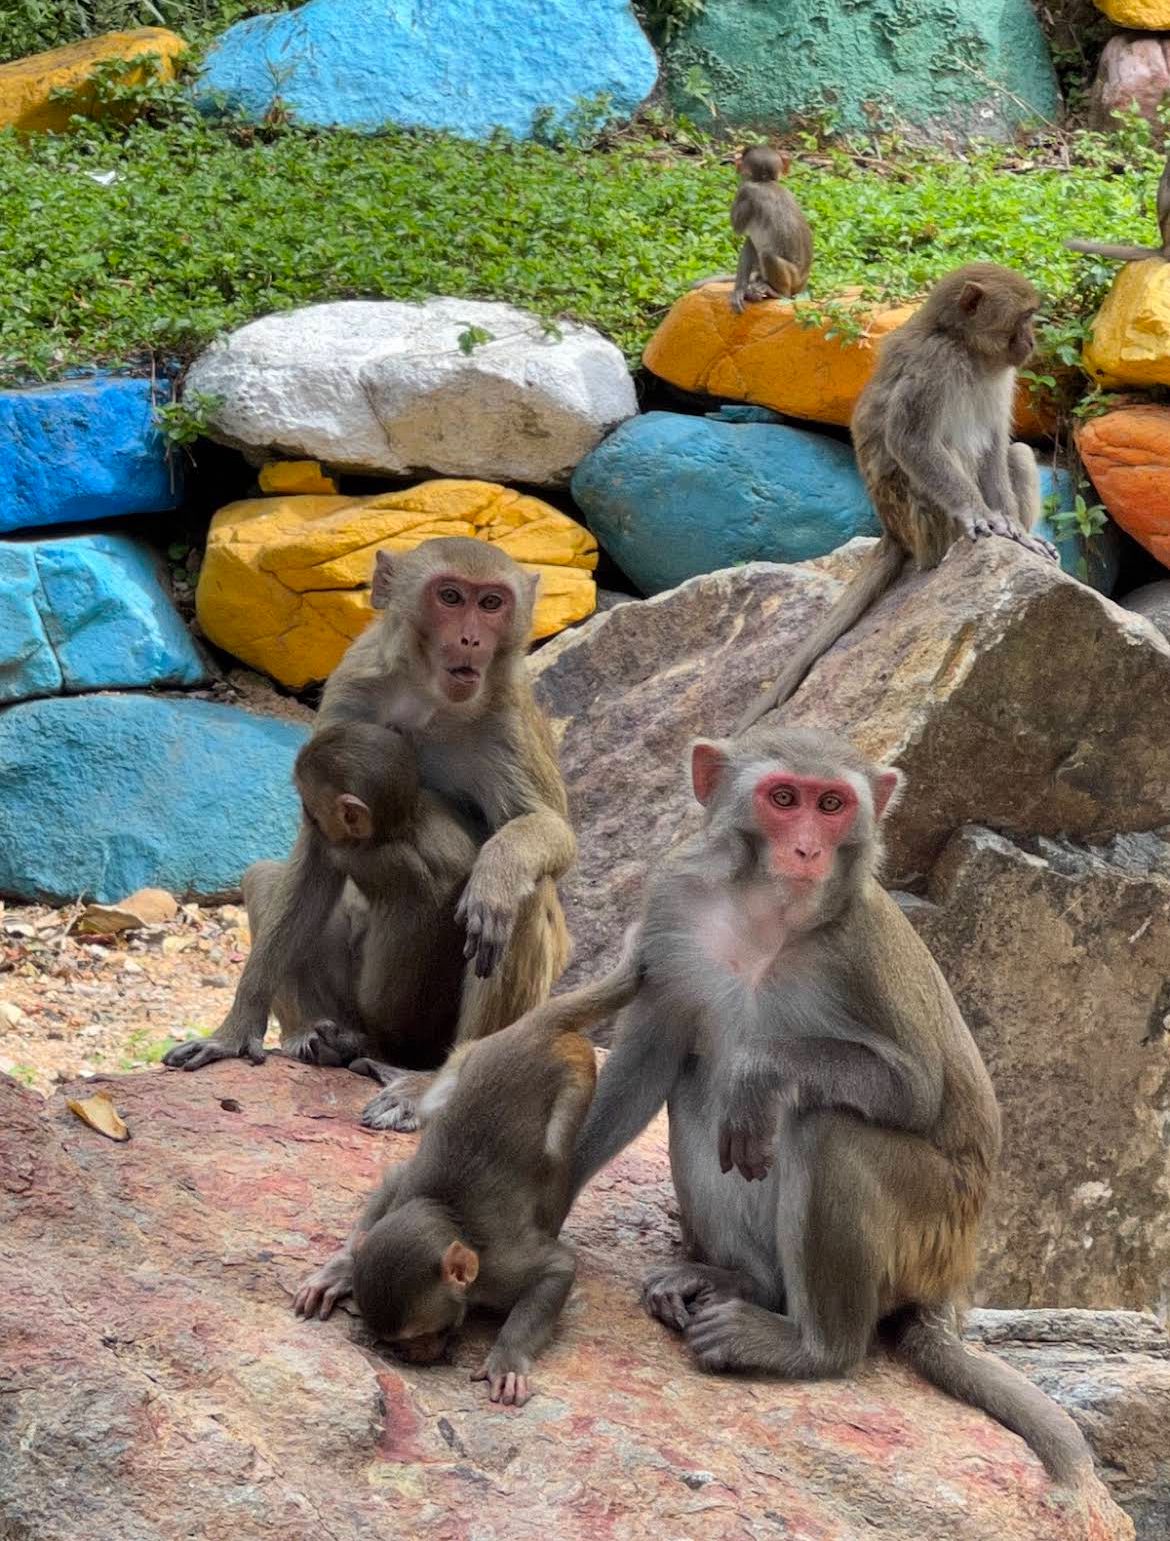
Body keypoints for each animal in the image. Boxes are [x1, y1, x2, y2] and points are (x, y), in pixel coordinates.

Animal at [165, 537, 575, 1135]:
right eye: (450, 597)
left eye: (492, 603)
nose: (472, 639)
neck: (426, 697)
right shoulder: (350, 689)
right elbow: (312, 856)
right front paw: (235, 1031)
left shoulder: (507, 719)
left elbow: (551, 834)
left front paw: (497, 872)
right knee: (268, 876)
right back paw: (319, 1037)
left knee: (526, 897)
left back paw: (437, 1082)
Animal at [291, 963, 630, 1406]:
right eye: (397, 1341)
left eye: (422, 1333)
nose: (412, 1356)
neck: (448, 1215)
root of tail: (532, 1025)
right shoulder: (407, 1191)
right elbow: (395, 1174)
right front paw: (341, 1268)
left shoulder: (500, 1270)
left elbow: (558, 1267)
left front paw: (507, 1356)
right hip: (465, 1054)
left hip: (578, 1075)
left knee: (557, 1154)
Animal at [548, 725, 1092, 1486]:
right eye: (784, 799)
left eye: (831, 804)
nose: (807, 848)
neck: (767, 918)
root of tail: (953, 1279)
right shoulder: (673, 907)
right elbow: (649, 1058)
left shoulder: (861, 948)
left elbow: (916, 1089)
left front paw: (761, 1071)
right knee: (699, 1089)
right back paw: (739, 1280)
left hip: (933, 1223)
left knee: (826, 1127)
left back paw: (811, 1346)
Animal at [691, 145, 813, 313]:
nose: (734, 163)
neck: (766, 182)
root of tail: (803, 285)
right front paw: (740, 290)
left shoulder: (745, 191)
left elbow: (738, 228)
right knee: (752, 243)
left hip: (793, 279)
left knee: (767, 254)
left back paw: (778, 292)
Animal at [733, 263, 1059, 733]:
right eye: (1024, 319)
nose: (1031, 343)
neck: (967, 349)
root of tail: (893, 534)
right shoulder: (933, 365)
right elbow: (911, 442)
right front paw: (981, 514)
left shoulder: (1002, 376)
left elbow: (997, 449)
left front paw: (1017, 530)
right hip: (917, 522)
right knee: (934, 466)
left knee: (1016, 454)